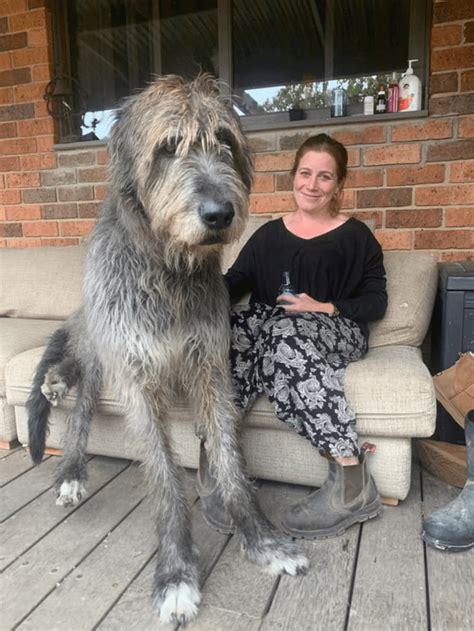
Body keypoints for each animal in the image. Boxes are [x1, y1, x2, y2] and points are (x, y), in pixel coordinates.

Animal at [26, 75, 308, 628]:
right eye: (168, 147)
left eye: (225, 142)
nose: (220, 214)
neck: (169, 269)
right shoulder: (134, 372)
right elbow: (162, 475)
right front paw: (176, 572)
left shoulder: (210, 366)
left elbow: (228, 459)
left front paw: (262, 541)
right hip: (101, 338)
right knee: (82, 400)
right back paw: (68, 455)